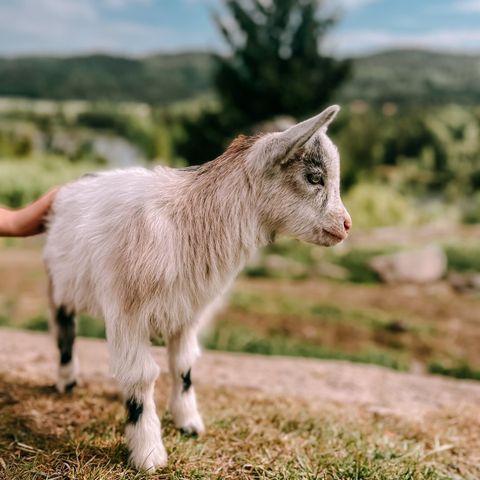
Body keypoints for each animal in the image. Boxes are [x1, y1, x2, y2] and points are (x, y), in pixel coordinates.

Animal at [43, 104, 350, 468]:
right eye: (314, 177)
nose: (346, 225)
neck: (190, 223)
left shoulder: (189, 310)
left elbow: (184, 365)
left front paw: (188, 423)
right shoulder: (127, 313)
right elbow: (141, 375)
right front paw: (149, 453)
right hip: (60, 283)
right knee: (64, 329)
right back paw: (67, 380)